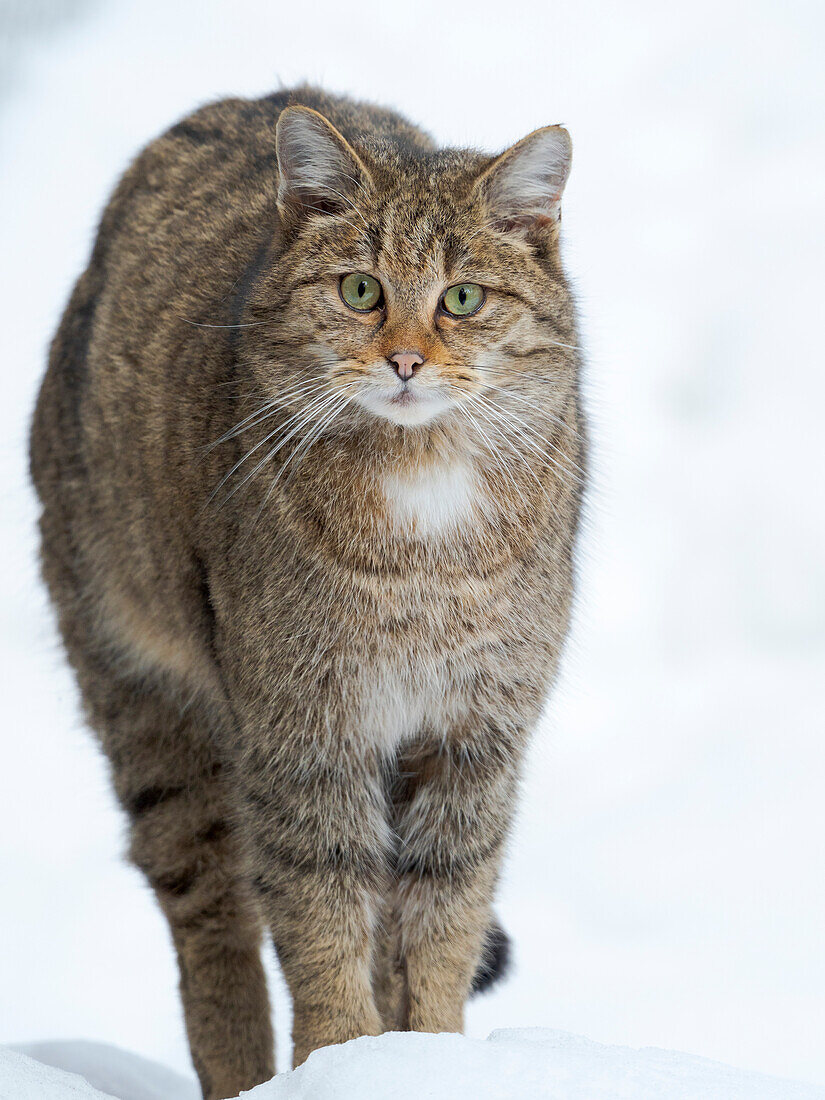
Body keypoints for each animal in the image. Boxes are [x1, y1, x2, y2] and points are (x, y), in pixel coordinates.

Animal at [30, 81, 589, 1095]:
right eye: (359, 290)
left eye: (461, 298)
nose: (404, 360)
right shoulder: (303, 731)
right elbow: (320, 914)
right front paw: (341, 1060)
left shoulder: (474, 733)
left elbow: (440, 920)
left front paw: (426, 1058)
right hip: (141, 694)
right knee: (211, 919)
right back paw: (244, 1071)